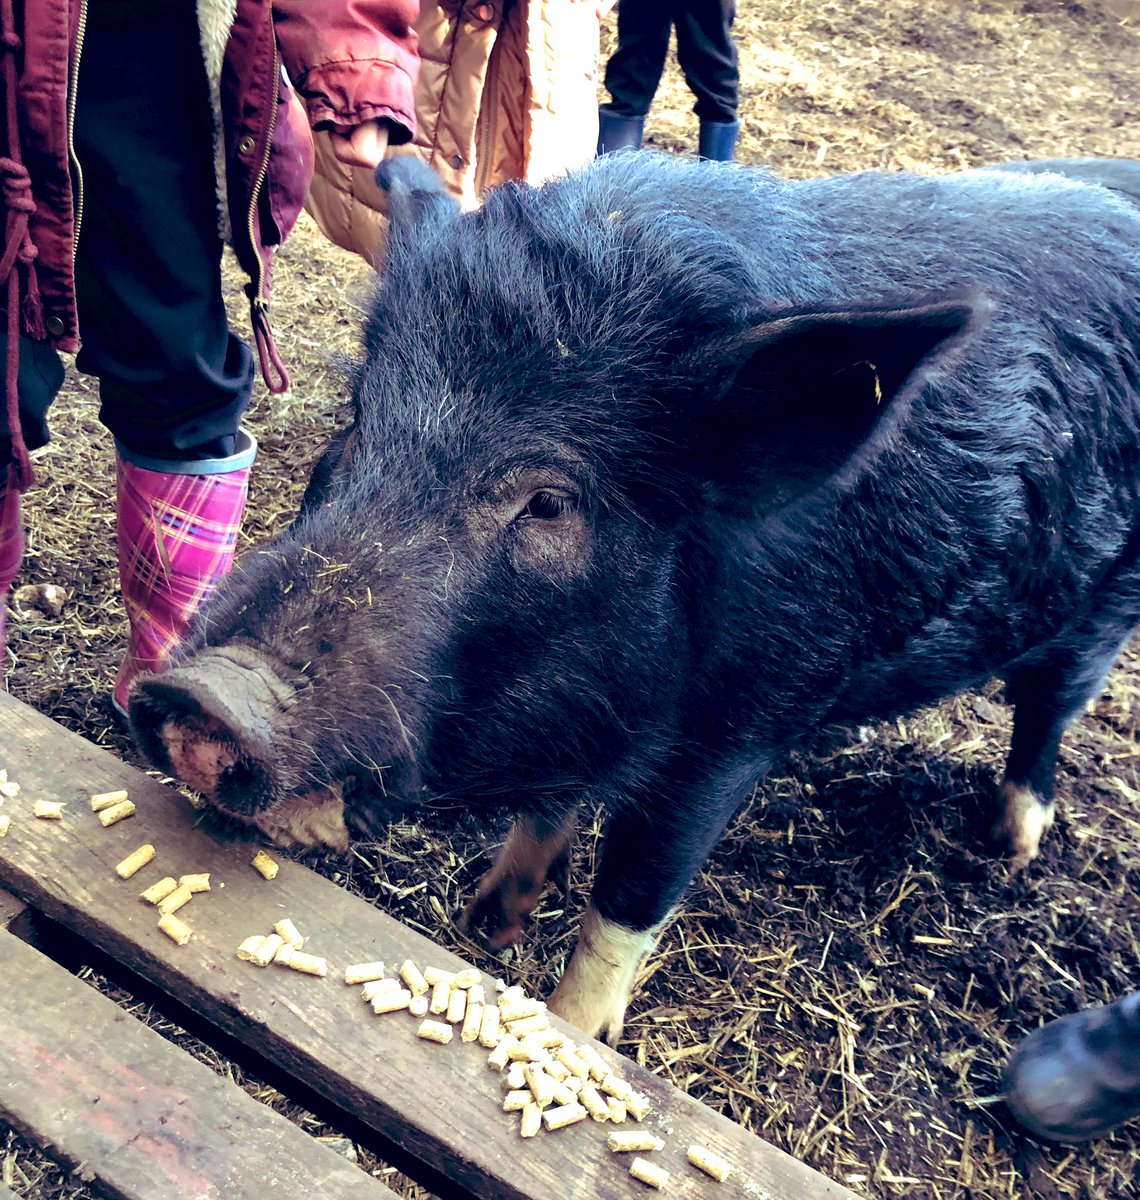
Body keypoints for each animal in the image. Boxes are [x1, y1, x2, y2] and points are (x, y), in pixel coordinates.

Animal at [129, 152, 1140, 1042]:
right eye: (360, 424)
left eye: (549, 501)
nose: (206, 693)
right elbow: (550, 811)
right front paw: (487, 922)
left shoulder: (741, 727)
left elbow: (630, 899)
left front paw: (572, 1033)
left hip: (1105, 610)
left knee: (1050, 709)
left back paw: (1009, 848)